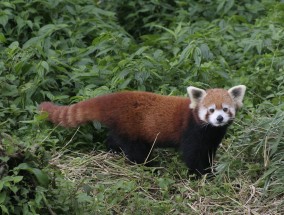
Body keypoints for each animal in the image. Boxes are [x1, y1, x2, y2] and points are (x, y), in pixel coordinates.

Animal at [40, 85, 246, 176]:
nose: (219, 119)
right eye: (210, 110)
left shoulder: (212, 137)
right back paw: (150, 166)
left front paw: (211, 169)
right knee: (136, 151)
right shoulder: (191, 131)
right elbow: (192, 155)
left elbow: (209, 152)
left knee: (115, 138)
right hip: (132, 127)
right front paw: (202, 174)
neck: (208, 129)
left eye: (225, 109)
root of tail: (114, 99)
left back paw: (113, 150)